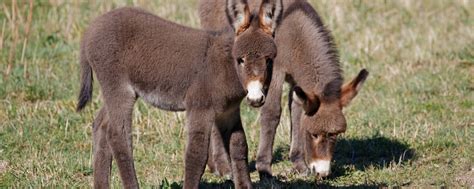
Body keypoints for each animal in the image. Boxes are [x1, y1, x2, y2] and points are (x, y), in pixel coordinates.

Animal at [76, 0, 284, 188]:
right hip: (118, 88)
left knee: (101, 125)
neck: (225, 66)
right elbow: (196, 155)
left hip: (117, 90)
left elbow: (239, 148)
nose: (256, 98)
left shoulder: (228, 111)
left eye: (269, 60)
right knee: (117, 134)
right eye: (240, 60)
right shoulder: (200, 107)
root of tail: (90, 30)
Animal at [198, 0, 368, 178]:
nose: (322, 173)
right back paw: (223, 167)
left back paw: (213, 166)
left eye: (336, 134)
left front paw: (299, 165)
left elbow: (297, 114)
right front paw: (264, 168)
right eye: (313, 134)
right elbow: (271, 113)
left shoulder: (298, 83)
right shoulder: (275, 73)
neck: (297, 36)